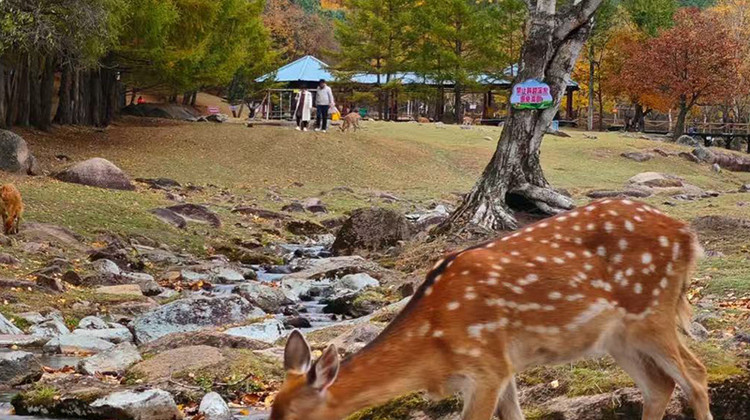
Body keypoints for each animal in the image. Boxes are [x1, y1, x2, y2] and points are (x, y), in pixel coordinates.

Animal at [271, 199, 711, 420]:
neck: (433, 345)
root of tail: (689, 235)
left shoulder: (485, 365)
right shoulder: (502, 366)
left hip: (652, 312)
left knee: (695, 375)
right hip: (618, 337)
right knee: (660, 386)